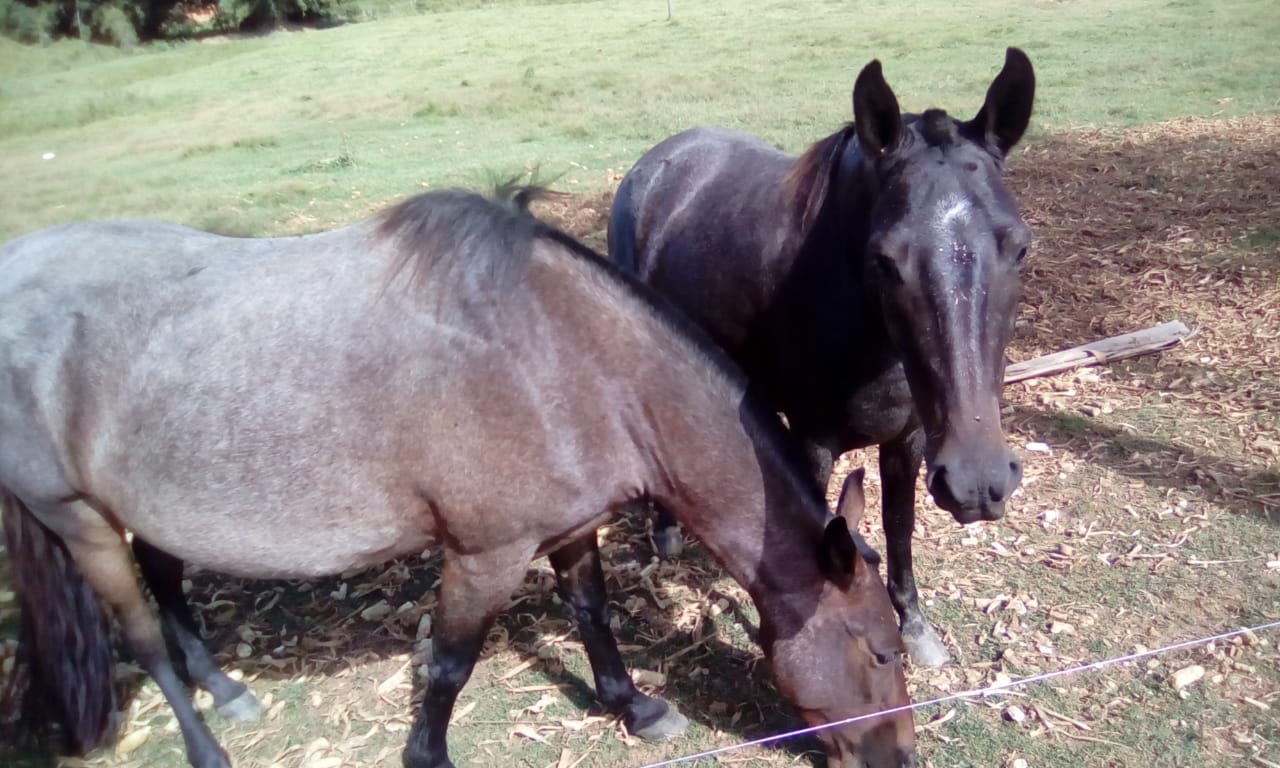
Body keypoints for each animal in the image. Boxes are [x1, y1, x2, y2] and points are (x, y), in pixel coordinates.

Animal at [0, 186, 921, 768]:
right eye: (881, 650)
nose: (900, 758)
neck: (569, 361)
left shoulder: (573, 528)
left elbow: (592, 615)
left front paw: (633, 705)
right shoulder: (484, 555)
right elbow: (447, 665)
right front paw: (428, 753)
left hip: (150, 503)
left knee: (167, 586)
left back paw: (225, 689)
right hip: (77, 518)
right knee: (141, 635)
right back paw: (207, 745)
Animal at [609, 50, 1039, 670]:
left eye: (1020, 247)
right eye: (885, 259)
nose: (978, 483)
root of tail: (655, 163)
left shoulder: (910, 438)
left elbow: (900, 526)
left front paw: (915, 626)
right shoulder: (813, 440)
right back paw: (664, 533)